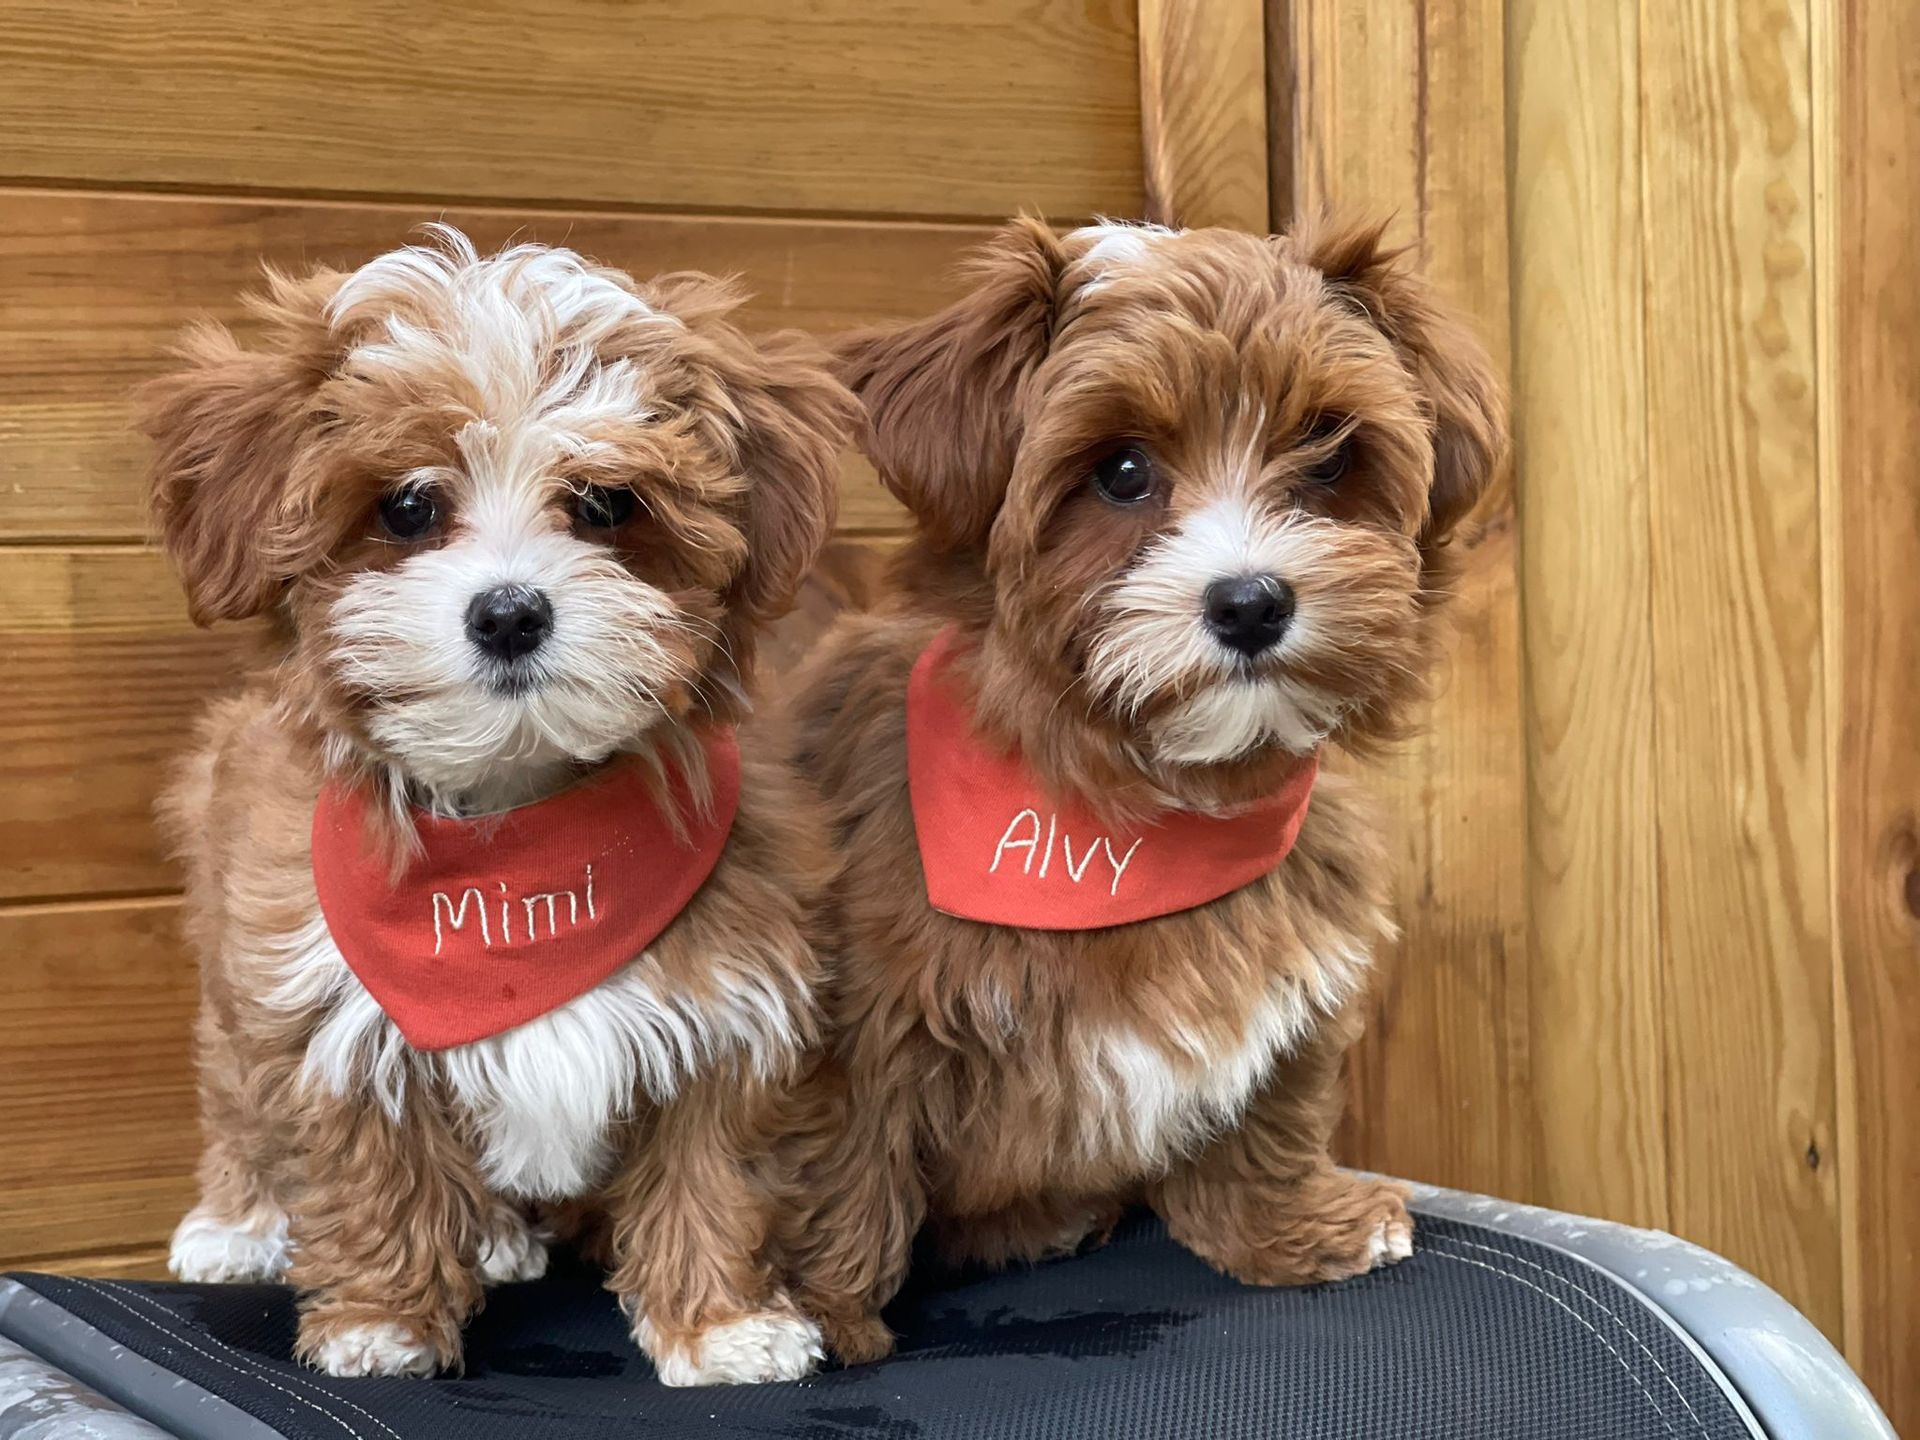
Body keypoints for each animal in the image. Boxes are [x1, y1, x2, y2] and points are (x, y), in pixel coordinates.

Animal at [145, 228, 854, 1383]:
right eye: (408, 507)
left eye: (606, 506)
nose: (511, 612)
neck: (517, 831)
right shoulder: (329, 997)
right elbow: (366, 1153)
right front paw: (381, 1323)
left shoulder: (731, 987)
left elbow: (713, 1161)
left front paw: (722, 1322)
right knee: (237, 1086)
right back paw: (237, 1219)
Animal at [776, 216, 1506, 1363]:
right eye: (1121, 471)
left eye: (1329, 453)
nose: (1251, 602)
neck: (1139, 799)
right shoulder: (855, 1009)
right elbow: (840, 1148)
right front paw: (816, 1313)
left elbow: (1270, 1097)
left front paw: (1290, 1228)